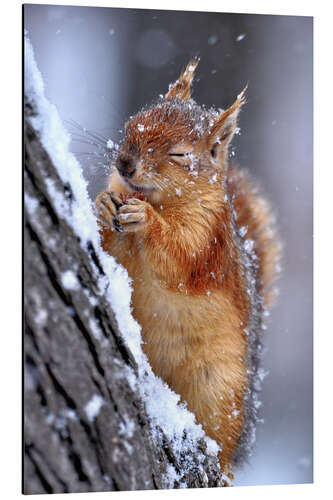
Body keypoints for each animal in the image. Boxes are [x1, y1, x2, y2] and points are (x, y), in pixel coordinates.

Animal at [94, 58, 280, 476]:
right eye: (134, 122)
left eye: (180, 155)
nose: (124, 164)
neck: (160, 200)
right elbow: (109, 246)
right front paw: (103, 203)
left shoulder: (207, 240)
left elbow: (178, 258)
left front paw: (147, 221)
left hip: (217, 388)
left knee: (222, 443)